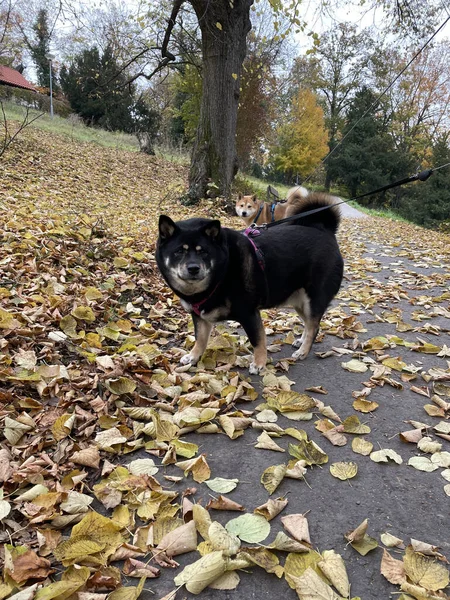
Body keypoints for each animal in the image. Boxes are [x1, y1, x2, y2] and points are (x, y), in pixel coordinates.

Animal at [156, 198, 342, 376]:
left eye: (203, 252)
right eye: (179, 251)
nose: (193, 268)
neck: (223, 272)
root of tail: (325, 231)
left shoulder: (249, 314)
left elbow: (258, 341)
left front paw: (259, 364)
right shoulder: (199, 316)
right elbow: (200, 339)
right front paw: (193, 356)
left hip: (313, 300)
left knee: (314, 327)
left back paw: (303, 351)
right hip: (300, 302)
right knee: (309, 324)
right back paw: (301, 342)